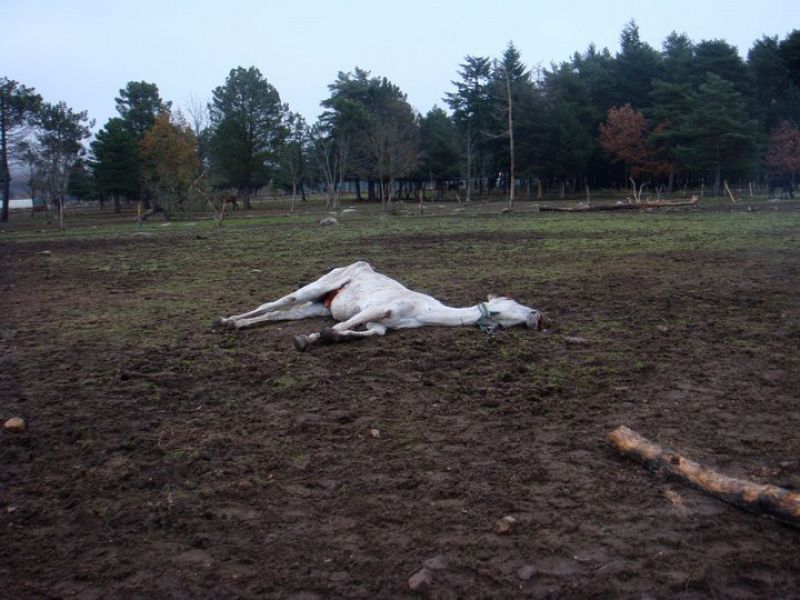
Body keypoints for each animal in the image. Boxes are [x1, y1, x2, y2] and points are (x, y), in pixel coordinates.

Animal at [214, 258, 552, 352]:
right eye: (514, 303)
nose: (539, 317)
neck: (422, 311)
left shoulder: (378, 322)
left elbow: (369, 333)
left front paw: (327, 337)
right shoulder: (376, 310)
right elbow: (342, 325)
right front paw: (306, 340)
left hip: (316, 306)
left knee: (280, 314)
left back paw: (236, 325)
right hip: (313, 288)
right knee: (275, 302)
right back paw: (224, 321)